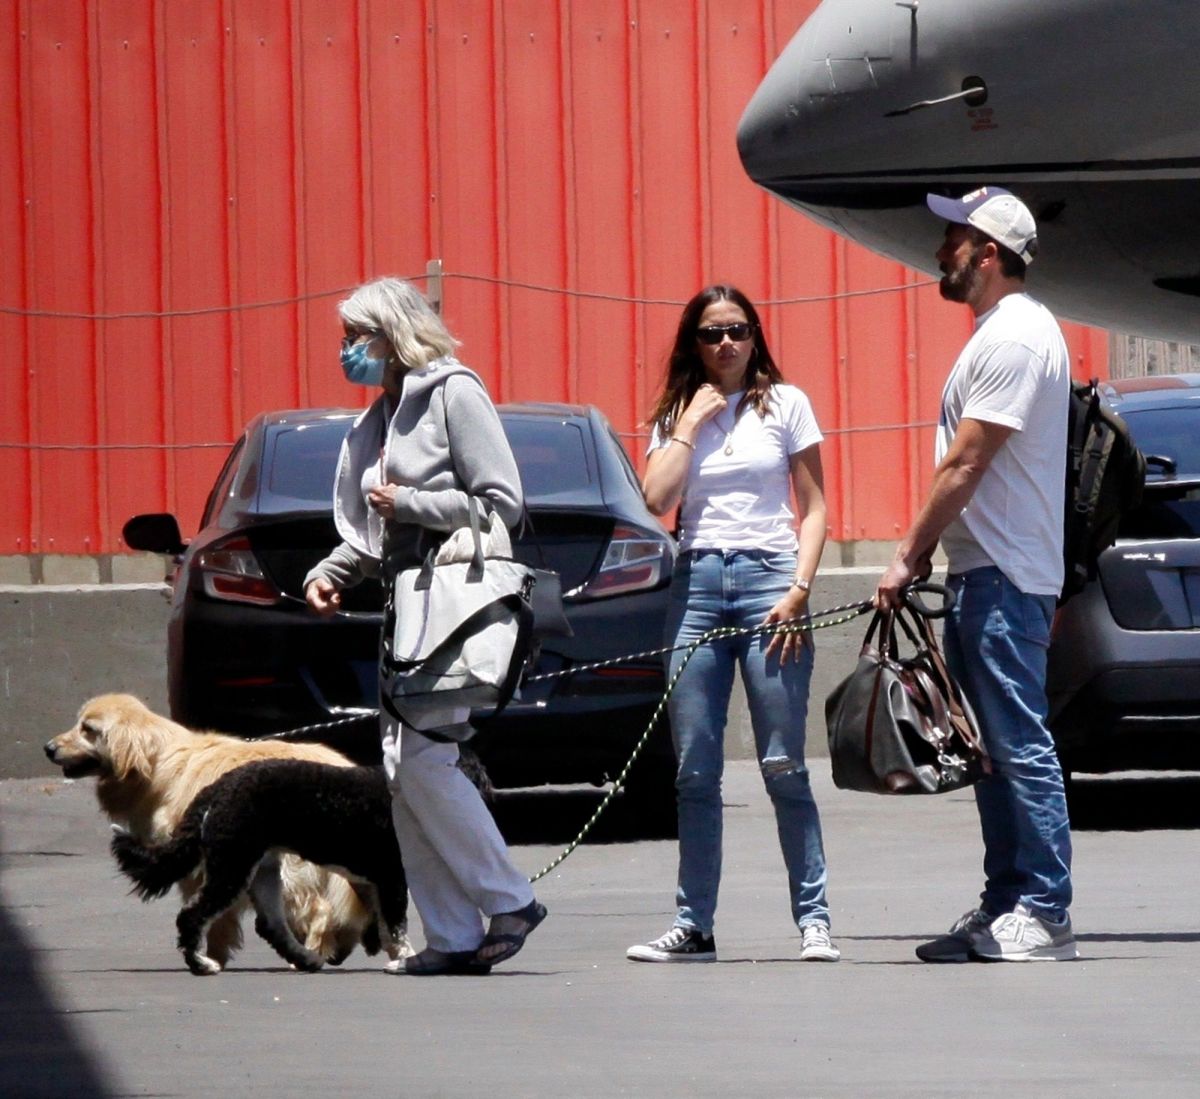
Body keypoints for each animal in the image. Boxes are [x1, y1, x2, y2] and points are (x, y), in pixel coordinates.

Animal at [114, 758, 410, 974]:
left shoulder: (375, 882)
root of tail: (218, 787)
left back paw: (306, 959)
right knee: (192, 915)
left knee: (271, 924)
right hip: (232, 867)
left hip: (263, 872)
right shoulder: (392, 876)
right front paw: (406, 959)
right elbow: (396, 925)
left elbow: (384, 923)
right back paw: (201, 964)